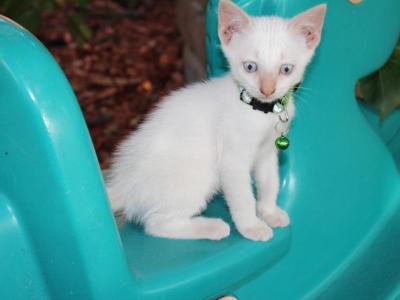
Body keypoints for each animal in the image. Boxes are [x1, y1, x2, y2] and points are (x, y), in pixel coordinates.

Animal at [106, 0, 324, 241]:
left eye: (286, 69)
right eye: (250, 66)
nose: (267, 90)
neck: (258, 111)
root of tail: (124, 184)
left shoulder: (267, 152)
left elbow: (270, 182)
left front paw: (269, 212)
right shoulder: (232, 160)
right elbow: (243, 196)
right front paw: (251, 226)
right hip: (199, 175)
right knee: (156, 224)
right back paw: (211, 227)